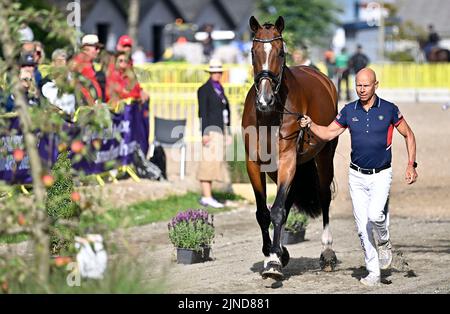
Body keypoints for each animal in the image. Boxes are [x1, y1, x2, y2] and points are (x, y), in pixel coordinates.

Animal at [243, 15, 338, 280]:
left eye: (281, 52)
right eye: (253, 52)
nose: (264, 100)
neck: (269, 115)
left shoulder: (288, 159)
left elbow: (276, 210)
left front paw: (274, 262)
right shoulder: (254, 164)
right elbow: (264, 212)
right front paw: (273, 255)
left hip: (324, 156)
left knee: (324, 196)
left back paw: (327, 252)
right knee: (289, 200)